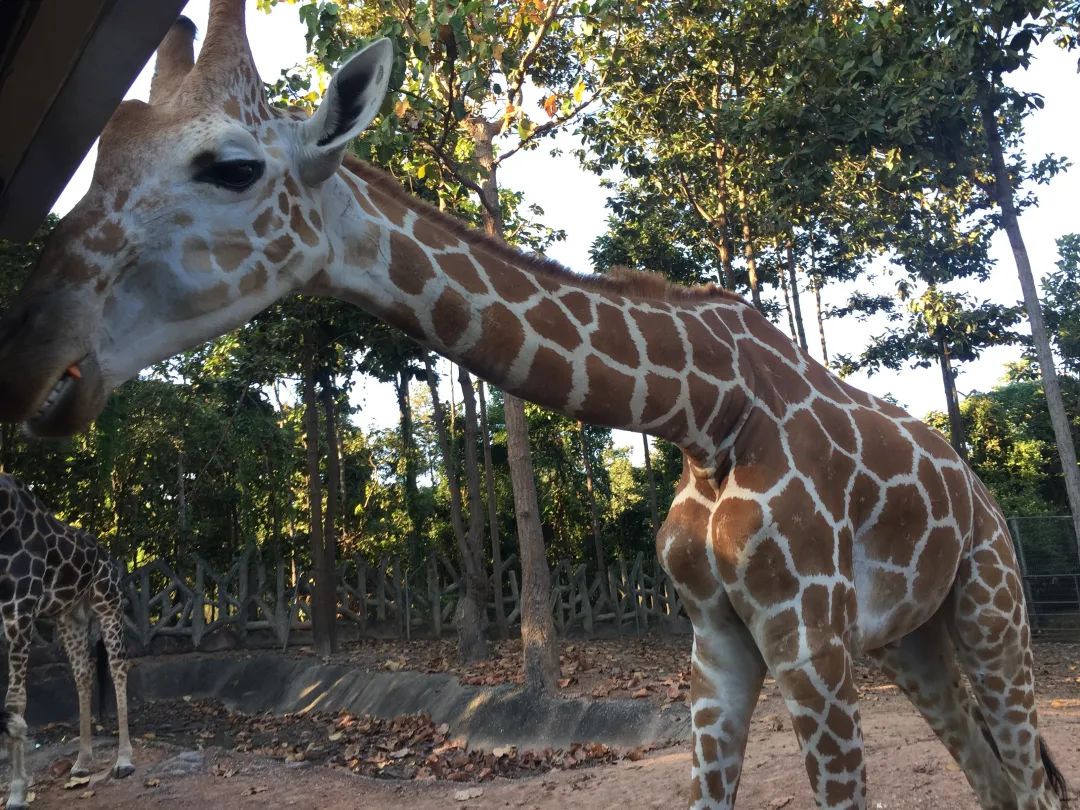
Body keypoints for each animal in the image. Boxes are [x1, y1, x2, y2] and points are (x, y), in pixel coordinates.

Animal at [0, 475, 133, 810]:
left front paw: (17, 792)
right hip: (70, 617)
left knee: (118, 667)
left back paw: (124, 759)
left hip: (109, 604)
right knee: (83, 674)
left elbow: (15, 701)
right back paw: (82, 763)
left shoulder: (20, 610)